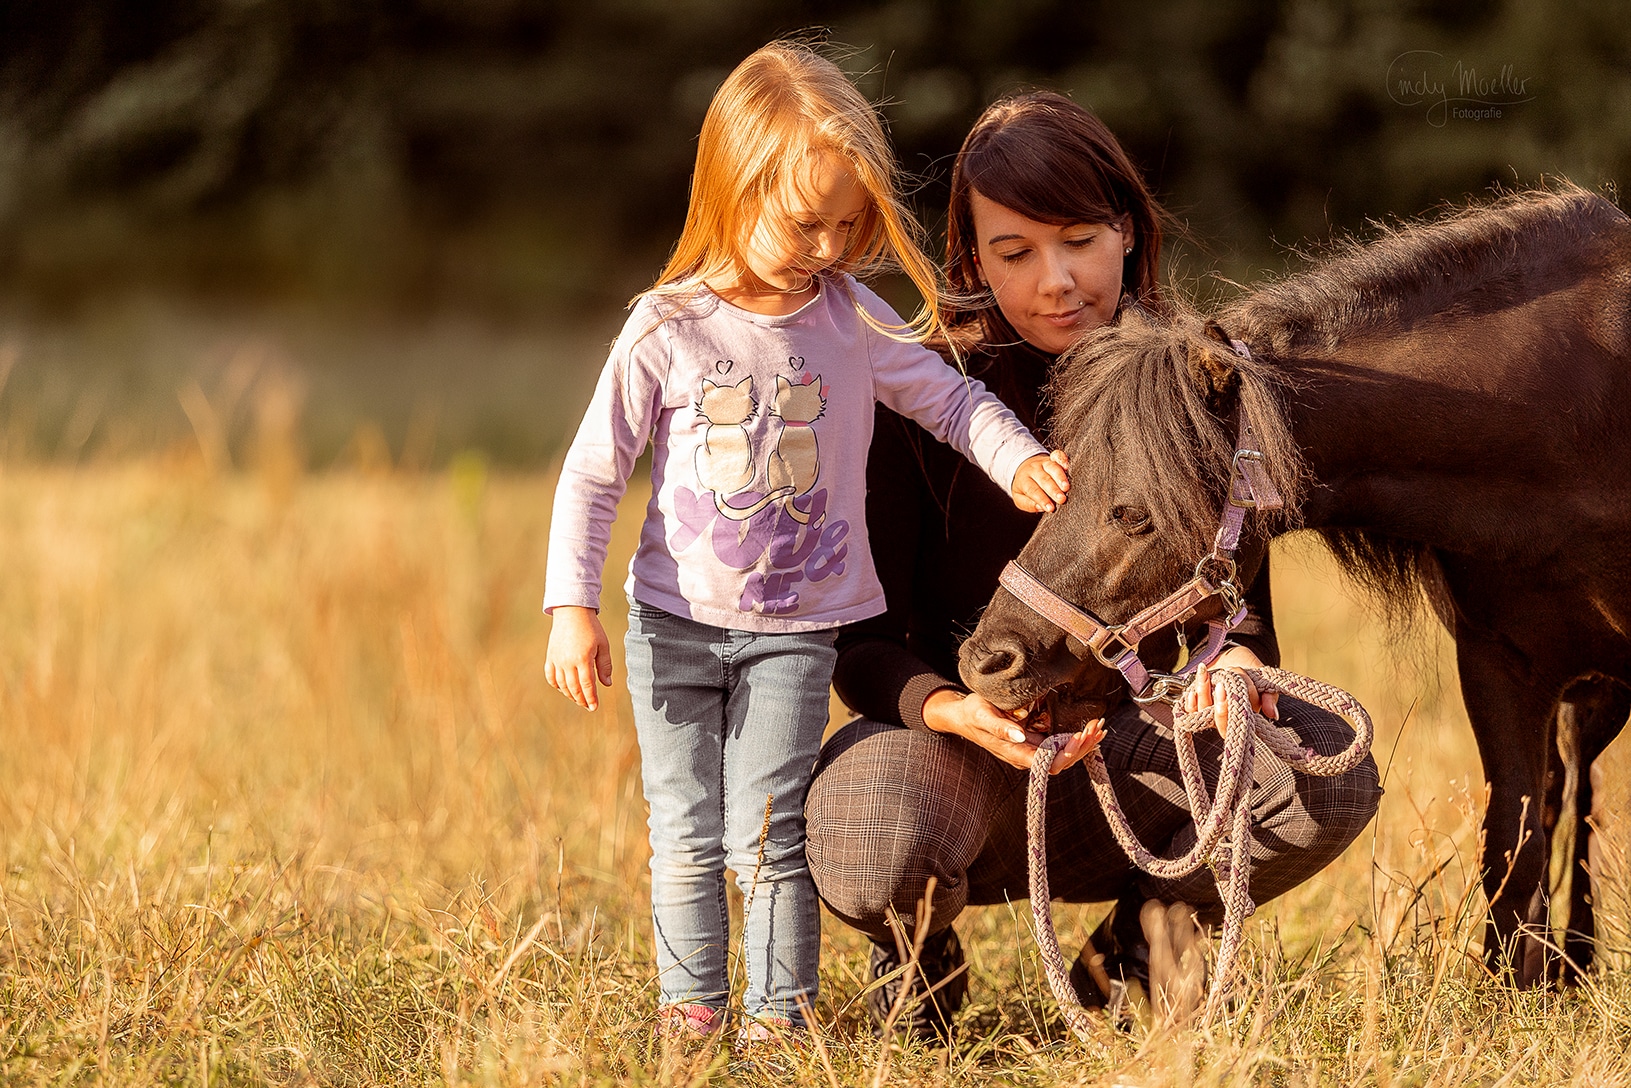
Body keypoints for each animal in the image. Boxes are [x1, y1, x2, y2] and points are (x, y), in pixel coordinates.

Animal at [956, 184, 1631, 986]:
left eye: (1136, 513)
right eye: (1053, 482)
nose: (989, 662)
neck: (1574, 417)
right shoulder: (1500, 669)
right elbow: (1512, 840)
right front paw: (1516, 990)